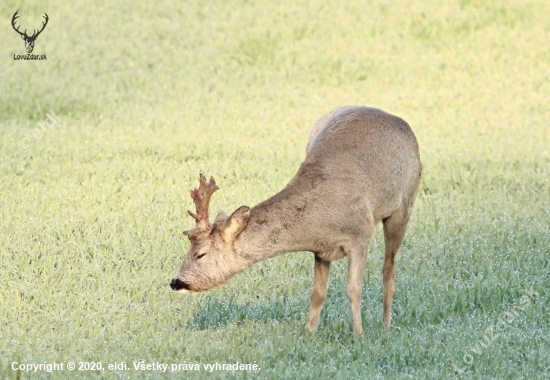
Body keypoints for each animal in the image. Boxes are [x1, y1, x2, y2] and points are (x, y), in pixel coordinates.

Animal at [169, 105, 422, 334]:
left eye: (200, 254)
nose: (175, 282)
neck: (319, 218)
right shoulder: (321, 250)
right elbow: (317, 293)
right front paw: (309, 333)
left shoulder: (360, 234)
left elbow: (354, 289)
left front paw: (359, 335)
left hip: (404, 204)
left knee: (388, 270)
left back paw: (386, 325)